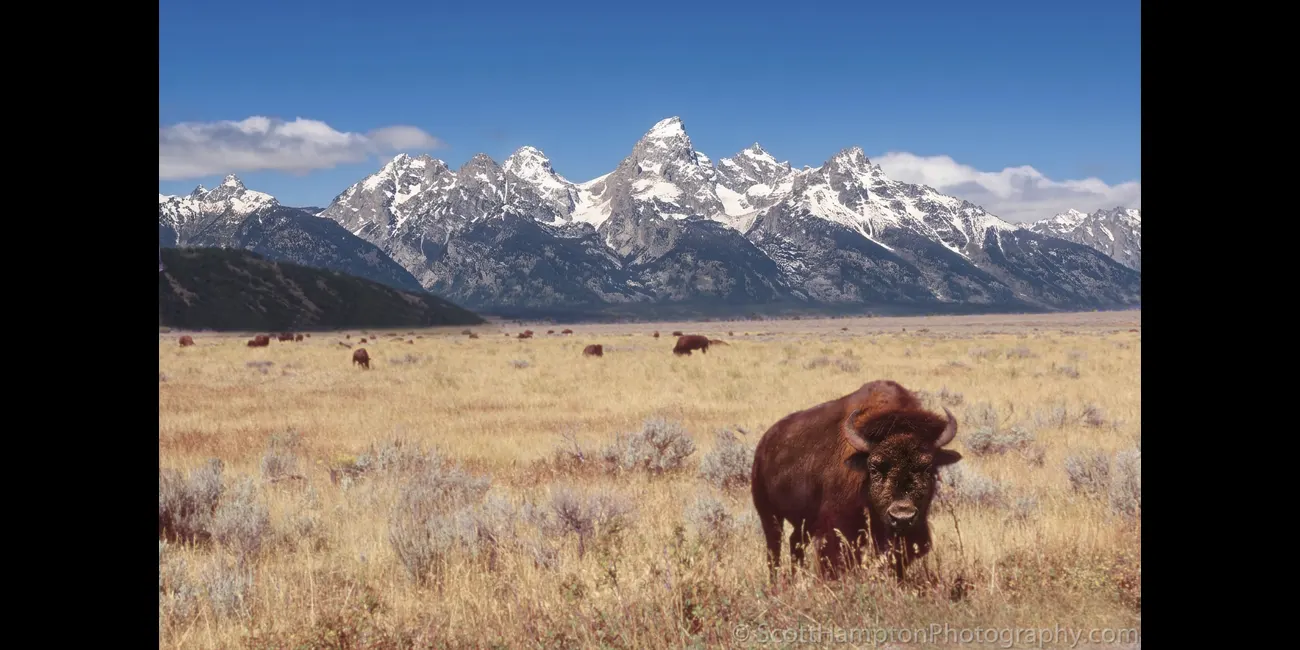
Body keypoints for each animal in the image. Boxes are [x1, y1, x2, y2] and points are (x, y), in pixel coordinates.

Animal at [750, 380, 962, 583]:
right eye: (874, 468)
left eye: (927, 468)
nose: (902, 517)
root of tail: (764, 444)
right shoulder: (837, 529)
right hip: (769, 514)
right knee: (774, 548)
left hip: (803, 522)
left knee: (795, 542)